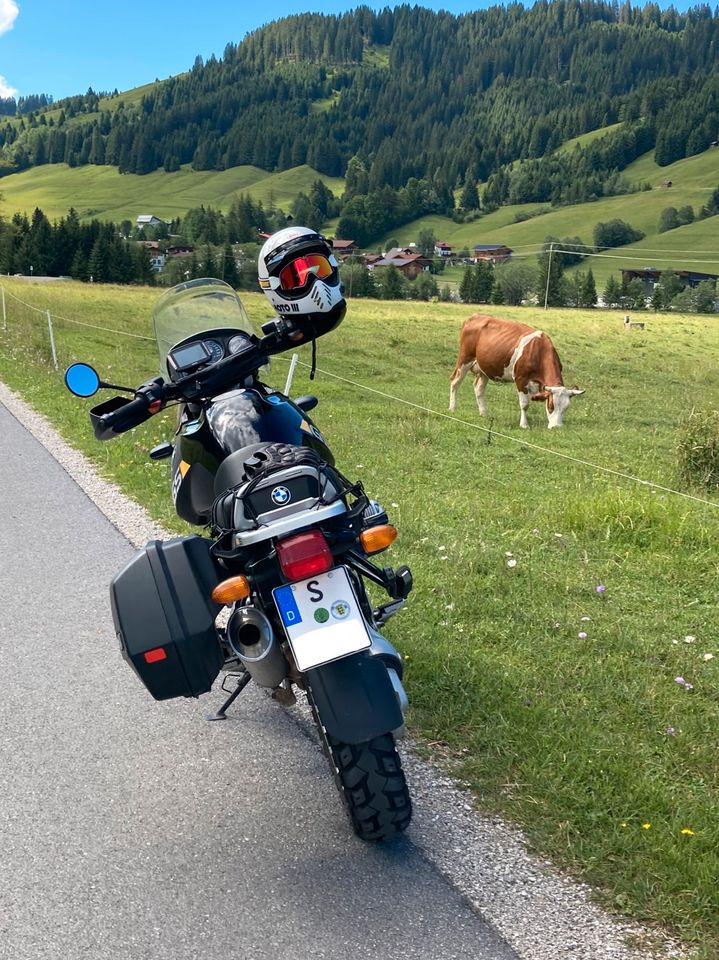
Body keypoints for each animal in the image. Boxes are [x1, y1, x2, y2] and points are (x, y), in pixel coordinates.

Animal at [450, 314, 584, 430]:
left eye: (566, 408)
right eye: (551, 406)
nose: (556, 427)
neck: (538, 351)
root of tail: (475, 316)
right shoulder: (521, 379)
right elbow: (524, 404)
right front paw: (524, 425)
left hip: (484, 368)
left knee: (479, 388)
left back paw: (484, 413)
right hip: (464, 359)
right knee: (455, 382)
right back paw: (452, 408)